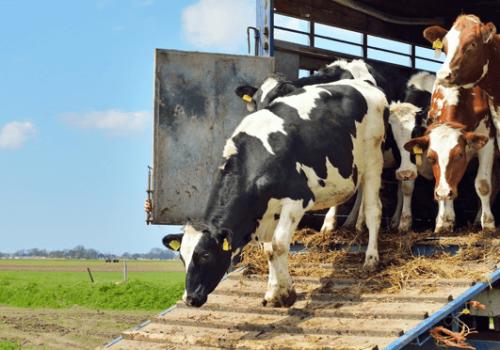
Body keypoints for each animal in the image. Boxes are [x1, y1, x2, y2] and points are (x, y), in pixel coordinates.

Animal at [164, 78, 390, 306]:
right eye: (182, 257)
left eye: (205, 254)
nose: (189, 298)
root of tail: (364, 83)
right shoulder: (267, 212)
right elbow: (269, 251)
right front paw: (274, 292)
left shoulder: (298, 199)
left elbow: (279, 244)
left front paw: (287, 293)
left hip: (373, 157)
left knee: (374, 210)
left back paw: (371, 258)